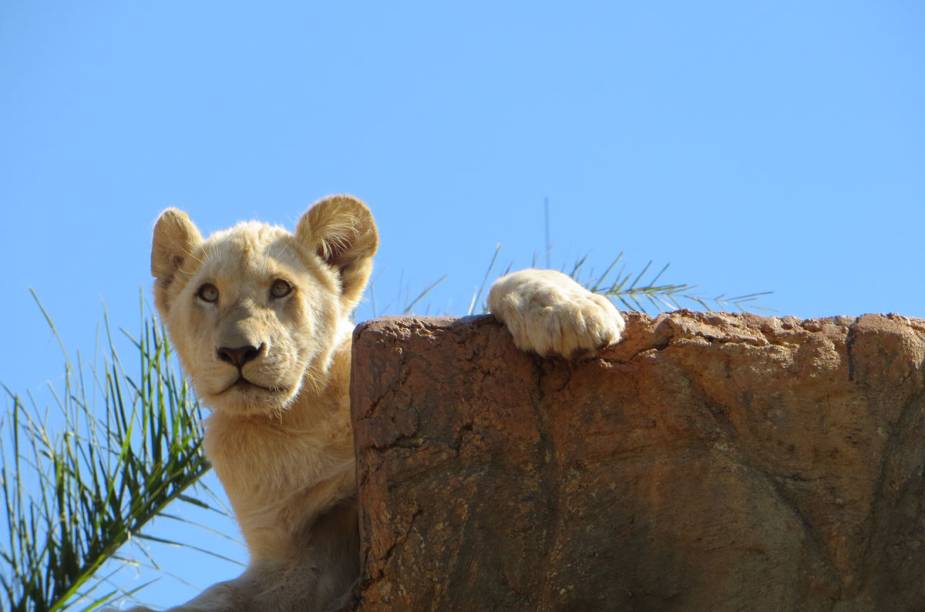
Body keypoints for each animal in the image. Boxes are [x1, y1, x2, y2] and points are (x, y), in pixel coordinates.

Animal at [147, 195, 625, 610]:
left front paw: (569, 314)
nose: (238, 352)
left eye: (281, 289)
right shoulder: (297, 549)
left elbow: (510, 280)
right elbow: (223, 595)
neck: (301, 416)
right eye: (208, 294)